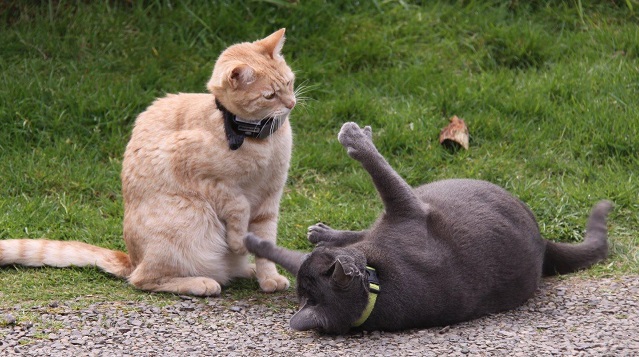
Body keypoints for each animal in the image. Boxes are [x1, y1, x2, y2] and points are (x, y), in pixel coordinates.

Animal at [1, 28, 296, 294]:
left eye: (290, 83)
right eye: (269, 96)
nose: (292, 103)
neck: (259, 139)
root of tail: (131, 259)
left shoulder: (270, 200)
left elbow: (265, 242)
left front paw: (269, 278)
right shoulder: (206, 178)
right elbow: (238, 205)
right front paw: (238, 241)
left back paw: (247, 270)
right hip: (189, 220)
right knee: (143, 280)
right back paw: (201, 282)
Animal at [244, 121, 608, 332]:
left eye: (321, 265)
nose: (325, 252)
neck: (377, 287)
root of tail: (545, 243)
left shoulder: (405, 212)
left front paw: (253, 242)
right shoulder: (409, 209)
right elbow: (384, 174)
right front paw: (355, 136)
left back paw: (322, 233)